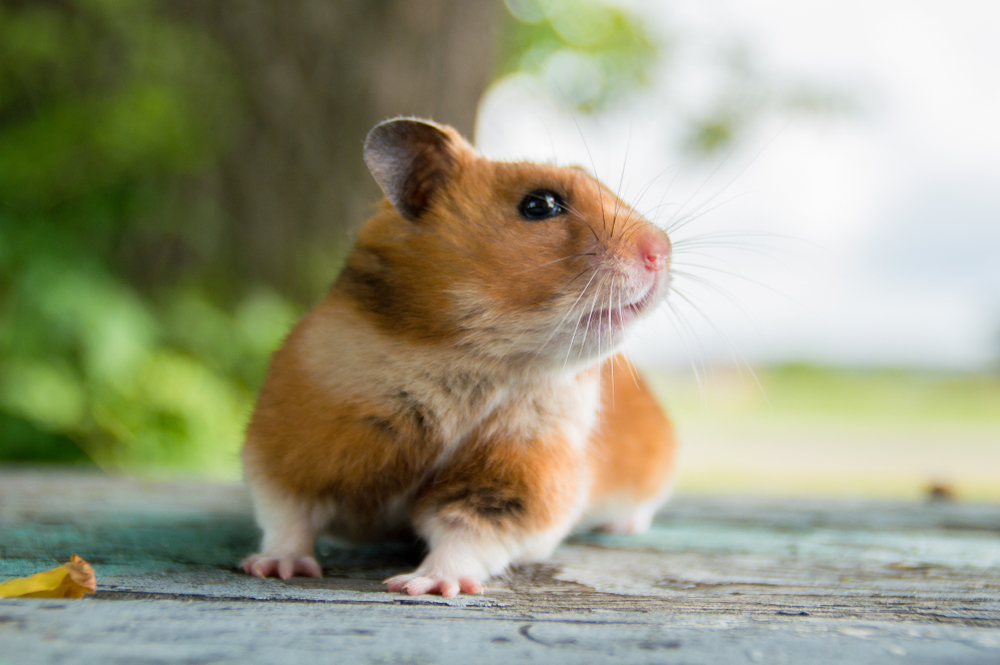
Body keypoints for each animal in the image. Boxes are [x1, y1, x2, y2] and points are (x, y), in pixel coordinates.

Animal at [240, 118, 676, 597]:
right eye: (540, 204)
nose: (662, 251)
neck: (476, 362)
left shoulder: (516, 480)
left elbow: (466, 535)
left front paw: (422, 586)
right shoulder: (290, 444)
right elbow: (288, 516)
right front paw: (273, 568)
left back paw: (621, 526)